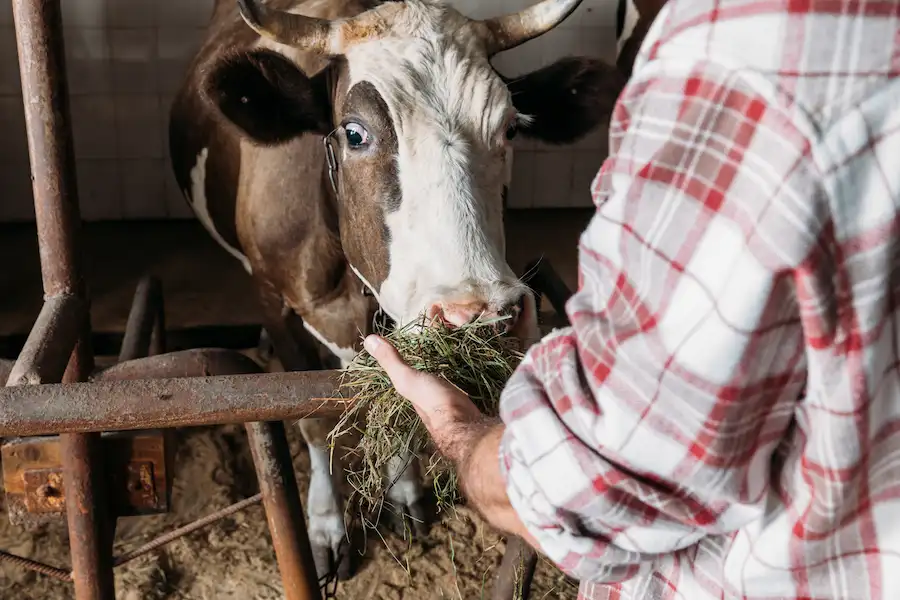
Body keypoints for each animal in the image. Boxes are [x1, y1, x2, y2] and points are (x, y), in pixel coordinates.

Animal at [169, 0, 628, 580]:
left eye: (509, 129)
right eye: (354, 133)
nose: (480, 317)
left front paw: (405, 491)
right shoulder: (274, 300)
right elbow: (312, 419)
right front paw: (325, 523)